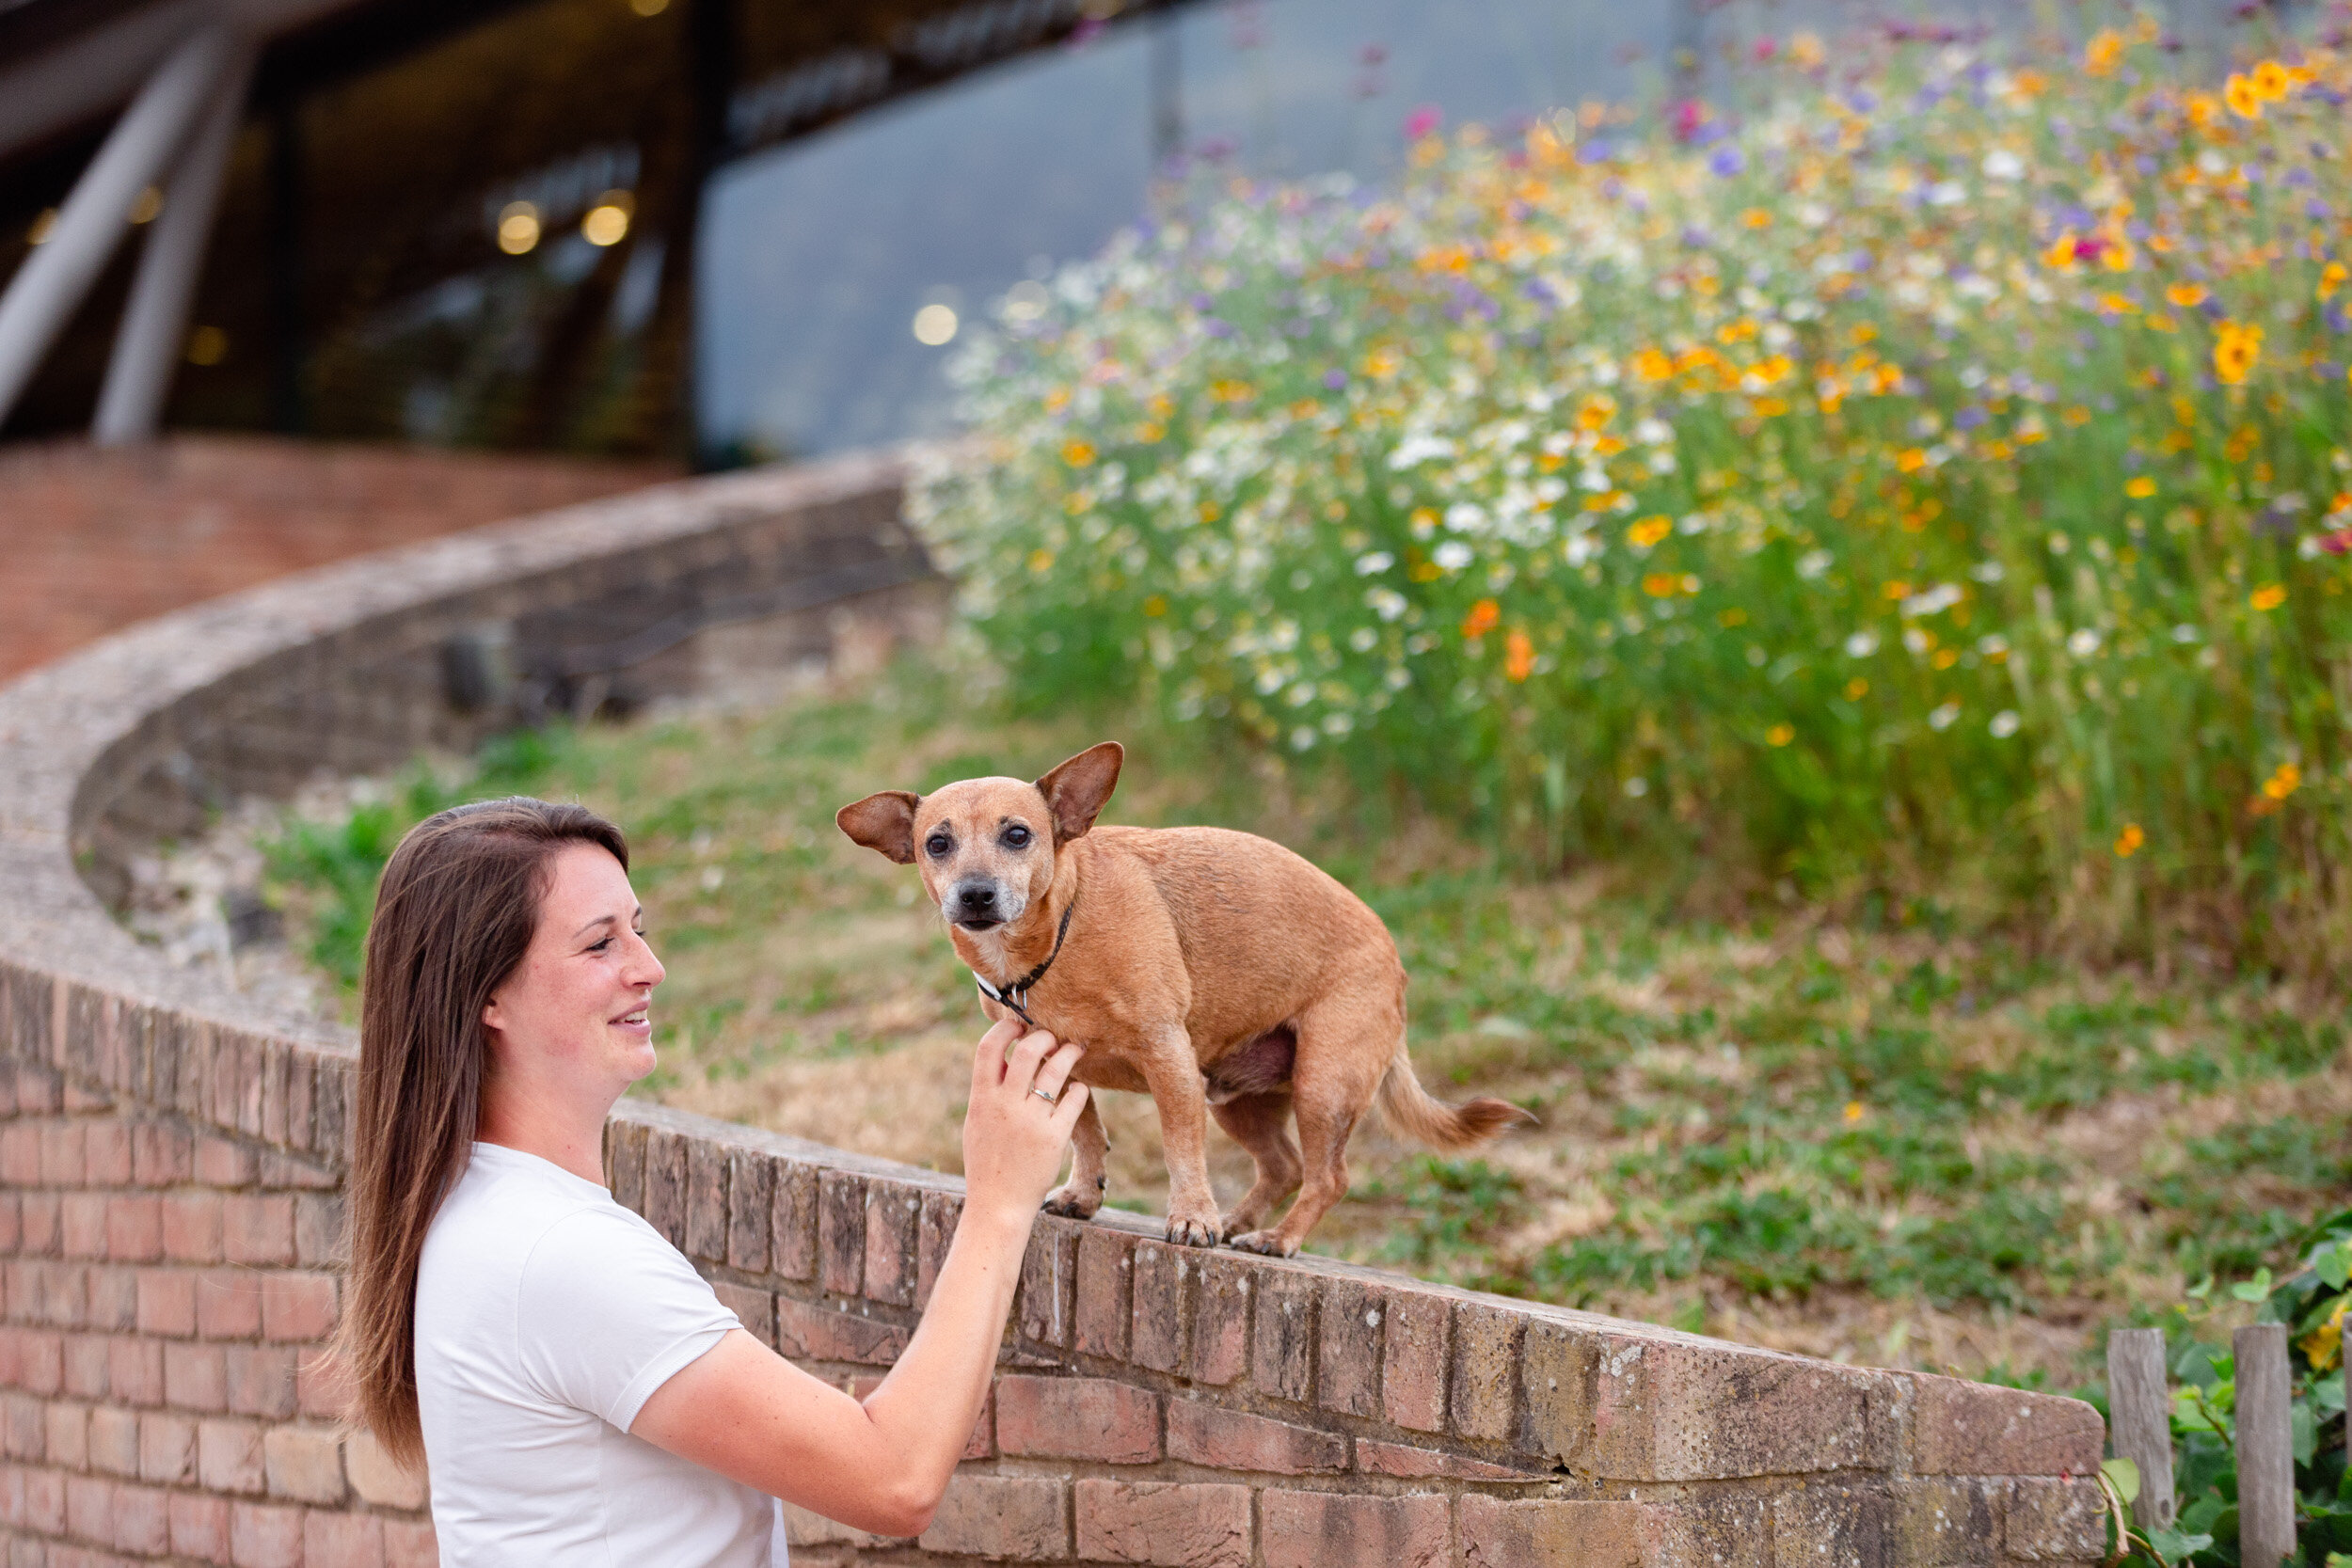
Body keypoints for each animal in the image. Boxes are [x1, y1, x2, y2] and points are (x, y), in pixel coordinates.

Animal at [833, 742, 1524, 1259]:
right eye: (937, 844)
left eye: (1019, 835)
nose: (975, 894)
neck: (1053, 944)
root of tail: (1395, 962)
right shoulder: (1057, 1061)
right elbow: (1086, 1132)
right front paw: (1085, 1194)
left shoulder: (1168, 1060)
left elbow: (1178, 1149)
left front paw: (1191, 1218)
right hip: (1235, 1097)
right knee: (1283, 1165)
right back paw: (1240, 1221)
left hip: (1322, 1085)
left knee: (1329, 1176)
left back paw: (1275, 1237)